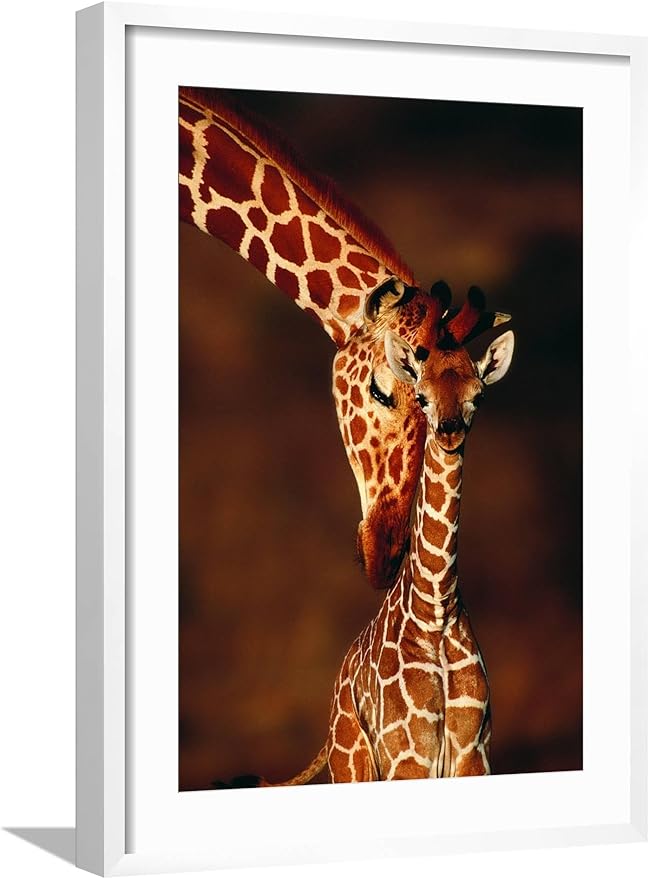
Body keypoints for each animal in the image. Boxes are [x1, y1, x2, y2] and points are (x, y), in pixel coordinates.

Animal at [224, 283, 513, 786]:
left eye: (478, 395)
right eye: (422, 396)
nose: (449, 431)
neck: (436, 610)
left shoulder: (473, 755)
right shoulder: (408, 758)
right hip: (353, 763)